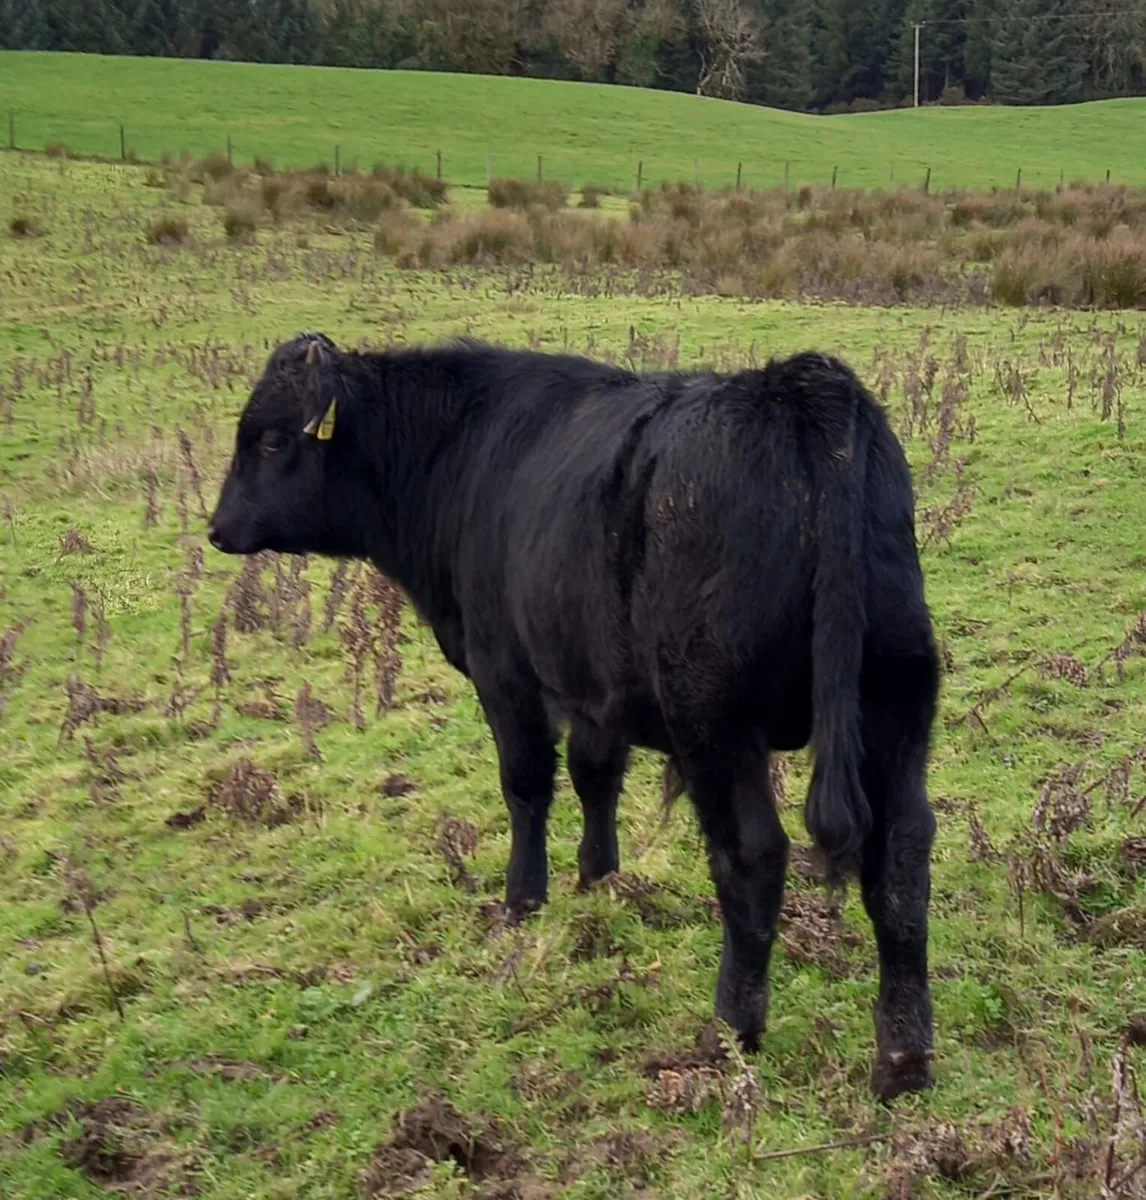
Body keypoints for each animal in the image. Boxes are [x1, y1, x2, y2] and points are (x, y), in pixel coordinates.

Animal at [207, 332, 940, 1101]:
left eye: (271, 439)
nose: (218, 528)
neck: (461, 448)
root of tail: (796, 387)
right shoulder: (594, 688)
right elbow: (596, 779)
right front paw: (599, 880)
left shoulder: (505, 672)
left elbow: (528, 784)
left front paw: (522, 900)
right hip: (895, 699)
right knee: (901, 856)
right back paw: (903, 1055)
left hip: (715, 718)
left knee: (753, 853)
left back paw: (729, 1030)